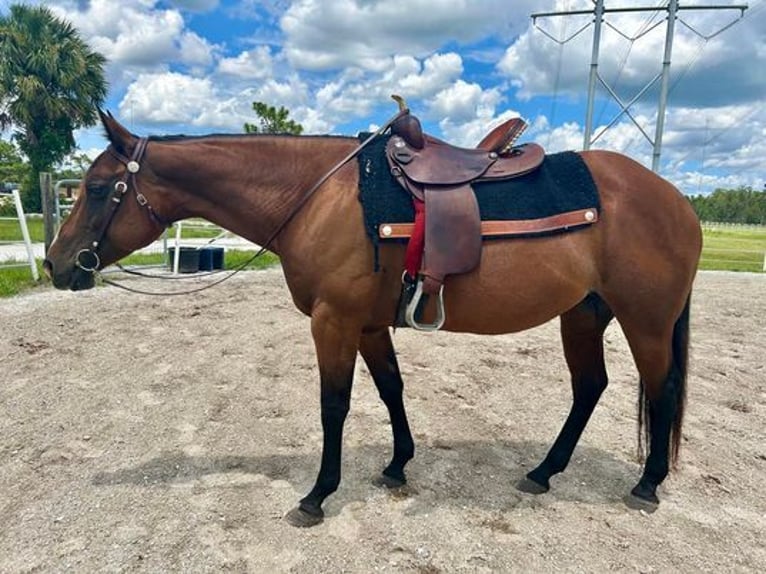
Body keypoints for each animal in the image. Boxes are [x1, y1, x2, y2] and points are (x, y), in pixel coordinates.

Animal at [42, 110, 704, 528]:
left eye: (97, 189)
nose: (55, 263)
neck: (317, 197)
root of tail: (673, 198)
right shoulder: (366, 324)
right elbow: (390, 389)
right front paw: (396, 465)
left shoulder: (333, 322)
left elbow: (334, 405)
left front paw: (317, 494)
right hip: (584, 315)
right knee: (590, 386)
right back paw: (543, 472)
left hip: (645, 322)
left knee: (662, 389)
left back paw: (647, 484)